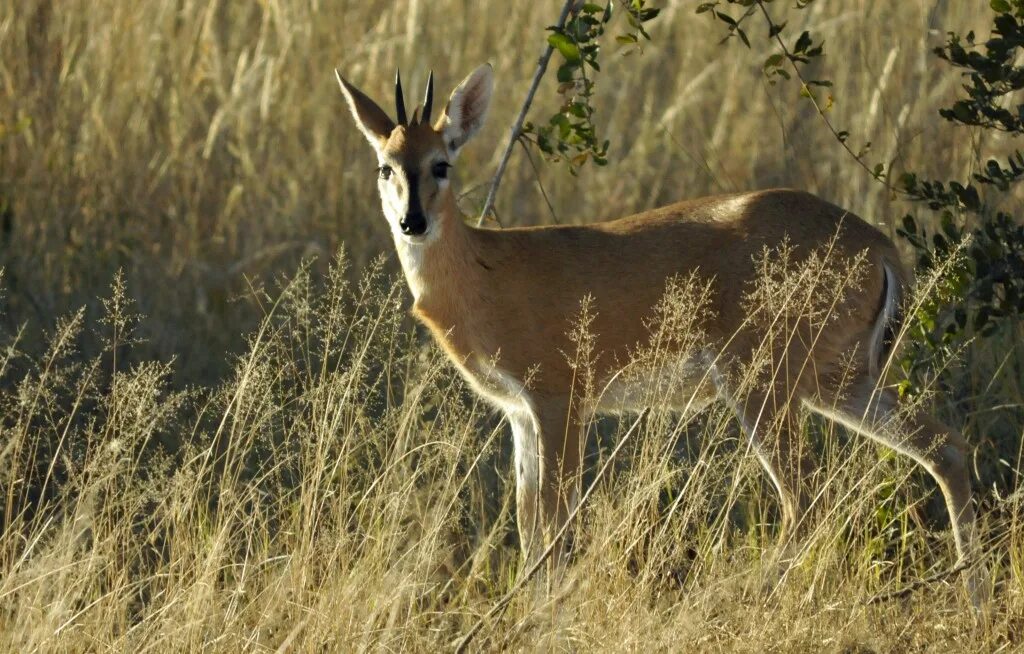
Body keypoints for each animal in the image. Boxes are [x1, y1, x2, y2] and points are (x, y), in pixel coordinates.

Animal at [333, 63, 983, 601]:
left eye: (441, 163)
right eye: (385, 166)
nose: (412, 221)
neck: (487, 273)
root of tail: (880, 247)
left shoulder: (561, 397)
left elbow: (556, 526)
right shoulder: (518, 412)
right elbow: (528, 523)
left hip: (764, 382)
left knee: (808, 499)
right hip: (836, 378)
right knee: (944, 448)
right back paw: (972, 599)